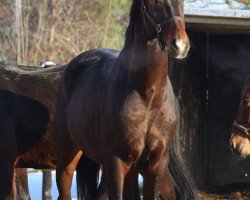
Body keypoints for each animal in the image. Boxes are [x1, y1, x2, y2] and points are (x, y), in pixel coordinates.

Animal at [54, 0, 197, 199]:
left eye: (182, 2)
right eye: (155, 2)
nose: (180, 45)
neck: (148, 98)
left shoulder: (154, 164)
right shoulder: (117, 161)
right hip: (68, 157)